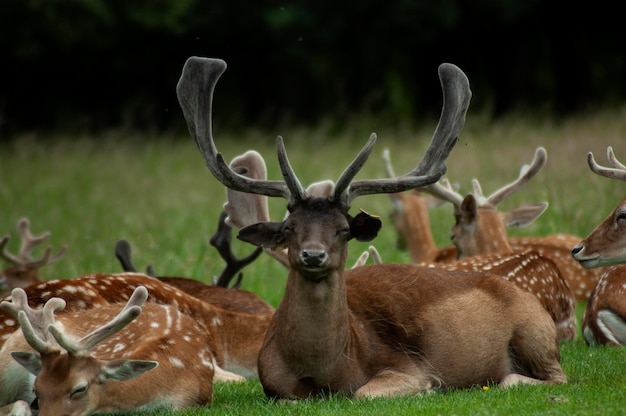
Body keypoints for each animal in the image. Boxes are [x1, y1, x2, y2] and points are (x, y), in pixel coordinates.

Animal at [176, 56, 564, 400]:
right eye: (289, 227)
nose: (313, 255)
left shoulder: (408, 365)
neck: (324, 373)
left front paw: (429, 388)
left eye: (343, 228)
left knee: (548, 377)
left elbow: (363, 393)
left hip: (535, 333)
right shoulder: (270, 384)